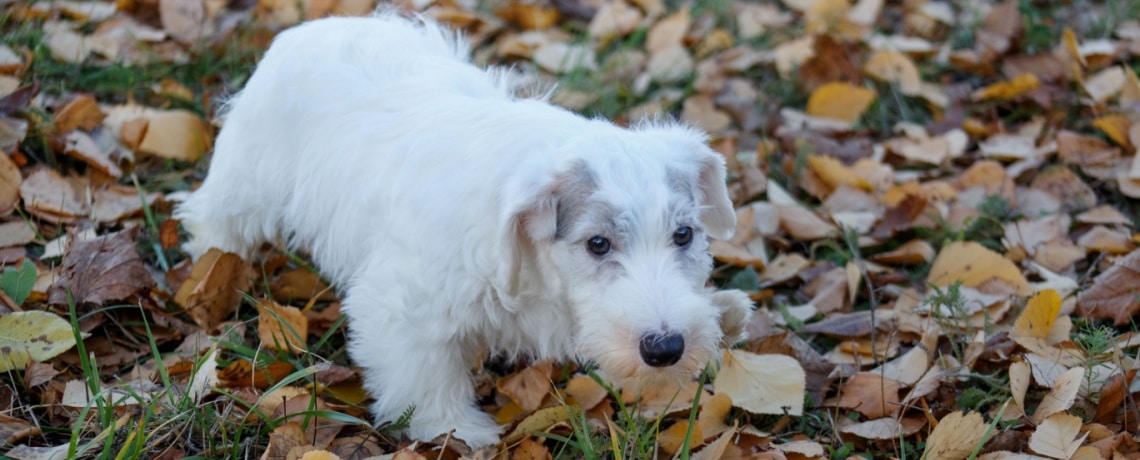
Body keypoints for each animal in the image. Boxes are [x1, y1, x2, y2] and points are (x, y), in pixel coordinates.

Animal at [175, 13, 747, 446]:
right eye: (598, 244)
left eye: (684, 236)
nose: (666, 349)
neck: (528, 255)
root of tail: (323, 24)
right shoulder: (402, 308)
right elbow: (425, 378)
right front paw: (458, 432)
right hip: (248, 176)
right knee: (215, 216)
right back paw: (215, 270)